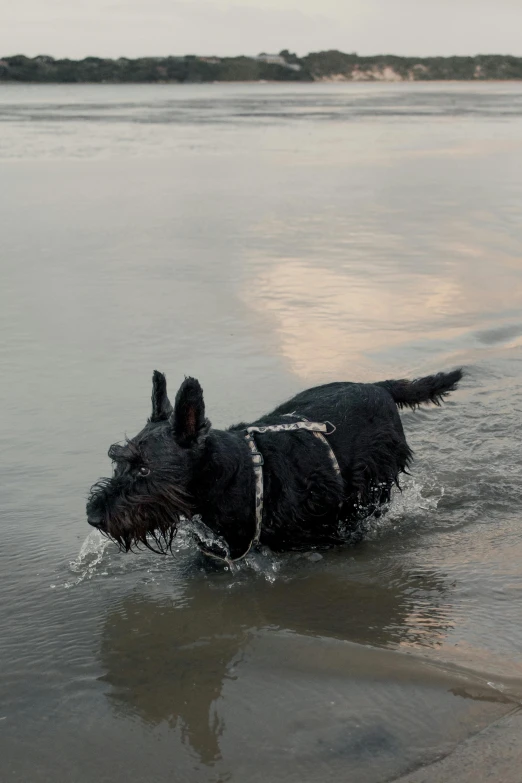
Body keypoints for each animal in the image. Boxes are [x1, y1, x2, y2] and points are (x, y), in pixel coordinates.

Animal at [87, 370, 462, 560]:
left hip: (372, 487)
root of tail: (378, 386)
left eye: (144, 469)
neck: (229, 477)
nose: (93, 516)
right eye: (117, 461)